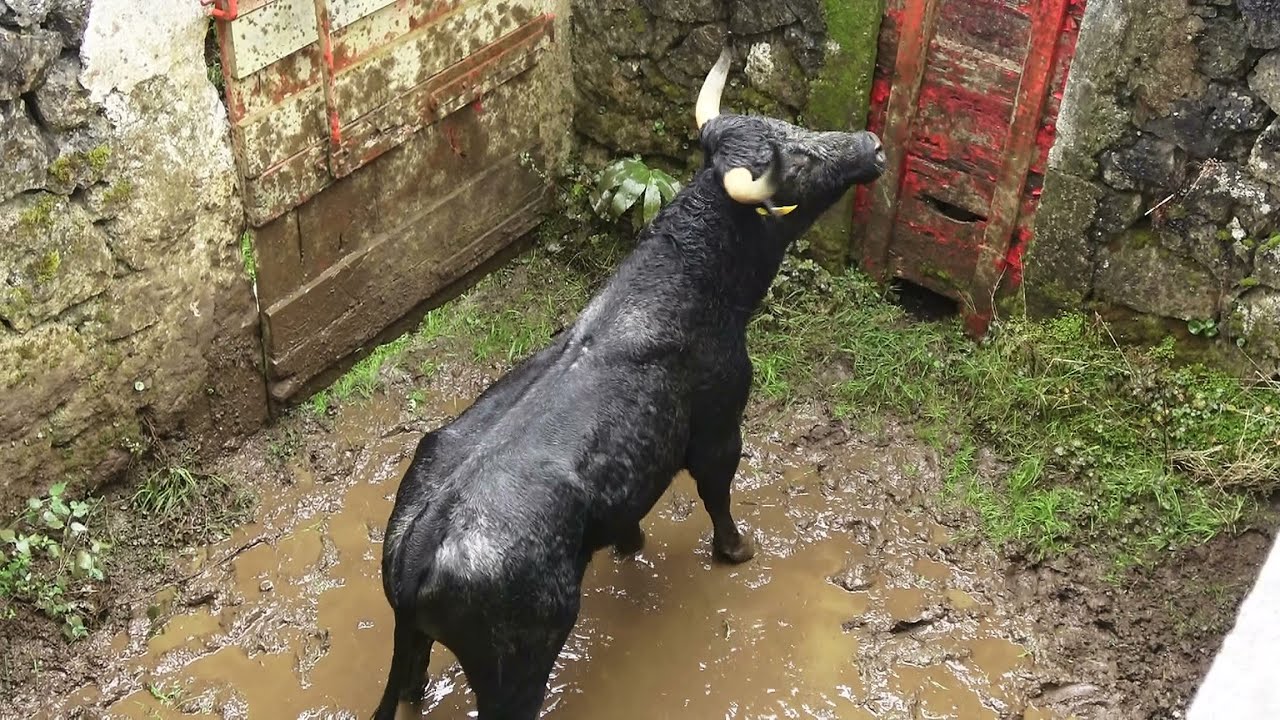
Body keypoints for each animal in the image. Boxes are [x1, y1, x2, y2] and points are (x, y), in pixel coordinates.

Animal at [372, 45, 886, 720]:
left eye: (789, 128)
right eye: (796, 158)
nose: (872, 143)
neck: (691, 277)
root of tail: (418, 549)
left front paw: (632, 544)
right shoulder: (719, 424)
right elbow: (717, 491)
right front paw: (736, 551)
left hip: (412, 642)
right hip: (519, 664)